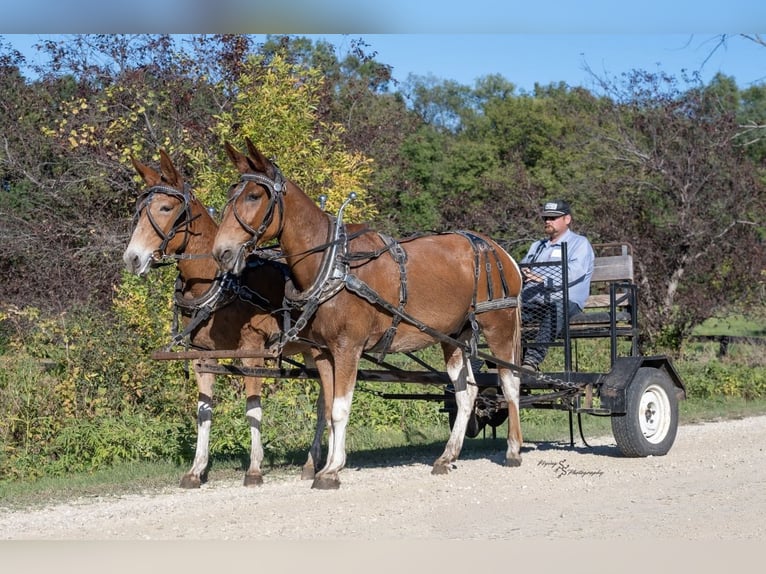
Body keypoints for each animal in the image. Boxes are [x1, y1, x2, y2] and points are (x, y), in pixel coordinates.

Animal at [122, 149, 324, 488]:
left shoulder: (252, 352)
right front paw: (196, 469)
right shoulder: (203, 356)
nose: (132, 258)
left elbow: (253, 410)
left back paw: (313, 462)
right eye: (139, 210)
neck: (219, 283)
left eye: (165, 207)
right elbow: (204, 412)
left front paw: (254, 468)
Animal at [212, 138, 524, 490]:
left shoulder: (348, 348)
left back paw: (513, 450)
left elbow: (339, 409)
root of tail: (498, 251)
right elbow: (329, 410)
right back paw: (447, 457)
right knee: (466, 392)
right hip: (454, 336)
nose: (221, 252)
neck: (333, 265)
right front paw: (326, 466)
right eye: (231, 195)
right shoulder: (324, 352)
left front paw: (331, 470)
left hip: (499, 325)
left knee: (510, 382)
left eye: (254, 196)